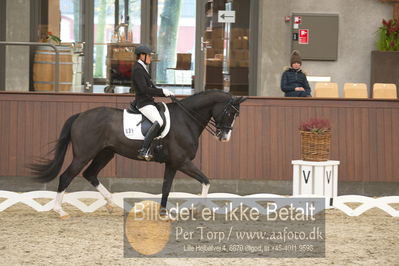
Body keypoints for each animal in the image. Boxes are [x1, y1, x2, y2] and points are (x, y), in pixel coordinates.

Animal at [31, 90, 245, 218]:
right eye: (230, 113)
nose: (224, 137)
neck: (186, 119)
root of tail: (80, 116)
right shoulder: (182, 161)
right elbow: (206, 181)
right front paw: (198, 209)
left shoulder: (172, 164)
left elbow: (166, 187)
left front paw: (163, 213)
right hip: (84, 154)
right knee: (66, 176)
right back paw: (60, 211)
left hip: (105, 153)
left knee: (90, 174)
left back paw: (112, 203)